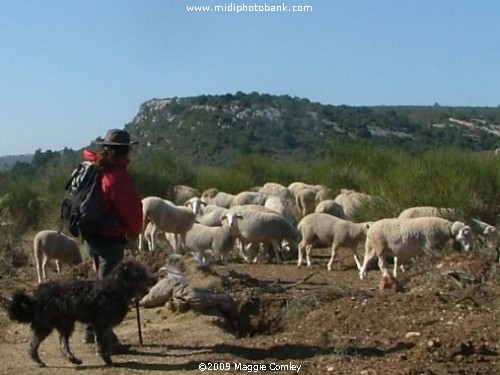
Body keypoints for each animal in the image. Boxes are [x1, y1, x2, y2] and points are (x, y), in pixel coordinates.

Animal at [7, 258, 155, 368]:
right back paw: (37, 360)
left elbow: (108, 340)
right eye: (139, 274)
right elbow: (103, 343)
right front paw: (107, 359)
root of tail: (36, 295)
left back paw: (73, 358)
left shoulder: (103, 326)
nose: (153, 279)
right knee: (33, 344)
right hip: (45, 325)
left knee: (62, 345)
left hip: (66, 324)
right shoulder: (101, 325)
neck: (117, 286)